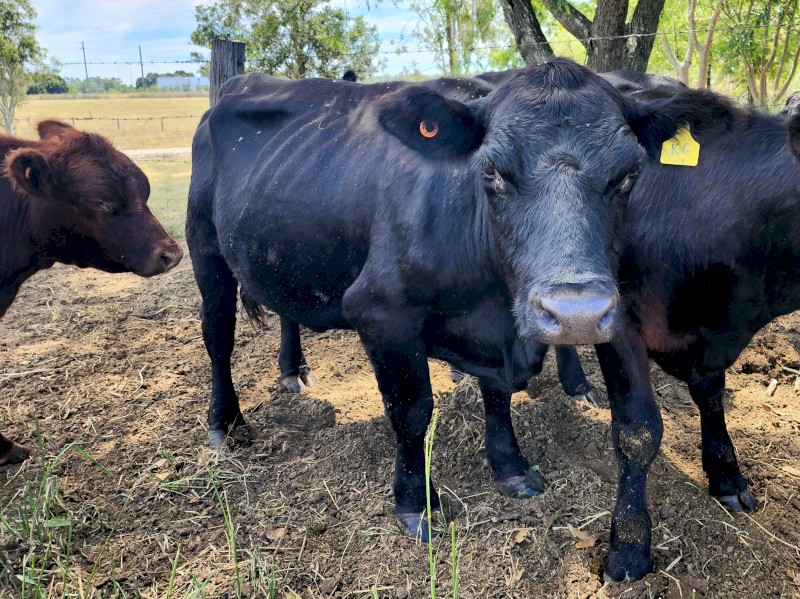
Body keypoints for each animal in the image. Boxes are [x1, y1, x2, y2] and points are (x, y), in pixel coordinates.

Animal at [186, 58, 701, 544]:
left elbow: (497, 396)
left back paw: (292, 370)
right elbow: (411, 411)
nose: (577, 314)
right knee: (218, 335)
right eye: (491, 170)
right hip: (205, 247)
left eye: (629, 173)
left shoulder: (498, 329)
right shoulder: (380, 313)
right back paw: (225, 423)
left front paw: (511, 468)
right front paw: (417, 504)